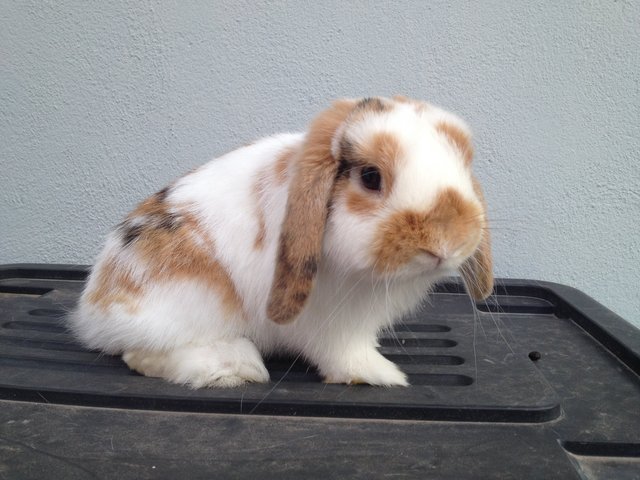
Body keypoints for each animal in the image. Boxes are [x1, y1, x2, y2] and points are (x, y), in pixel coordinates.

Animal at [67, 95, 492, 388]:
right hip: (192, 298)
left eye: (463, 165)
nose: (445, 242)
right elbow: (345, 356)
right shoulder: (331, 325)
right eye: (370, 177)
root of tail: (91, 311)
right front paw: (382, 374)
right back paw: (234, 367)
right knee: (140, 353)